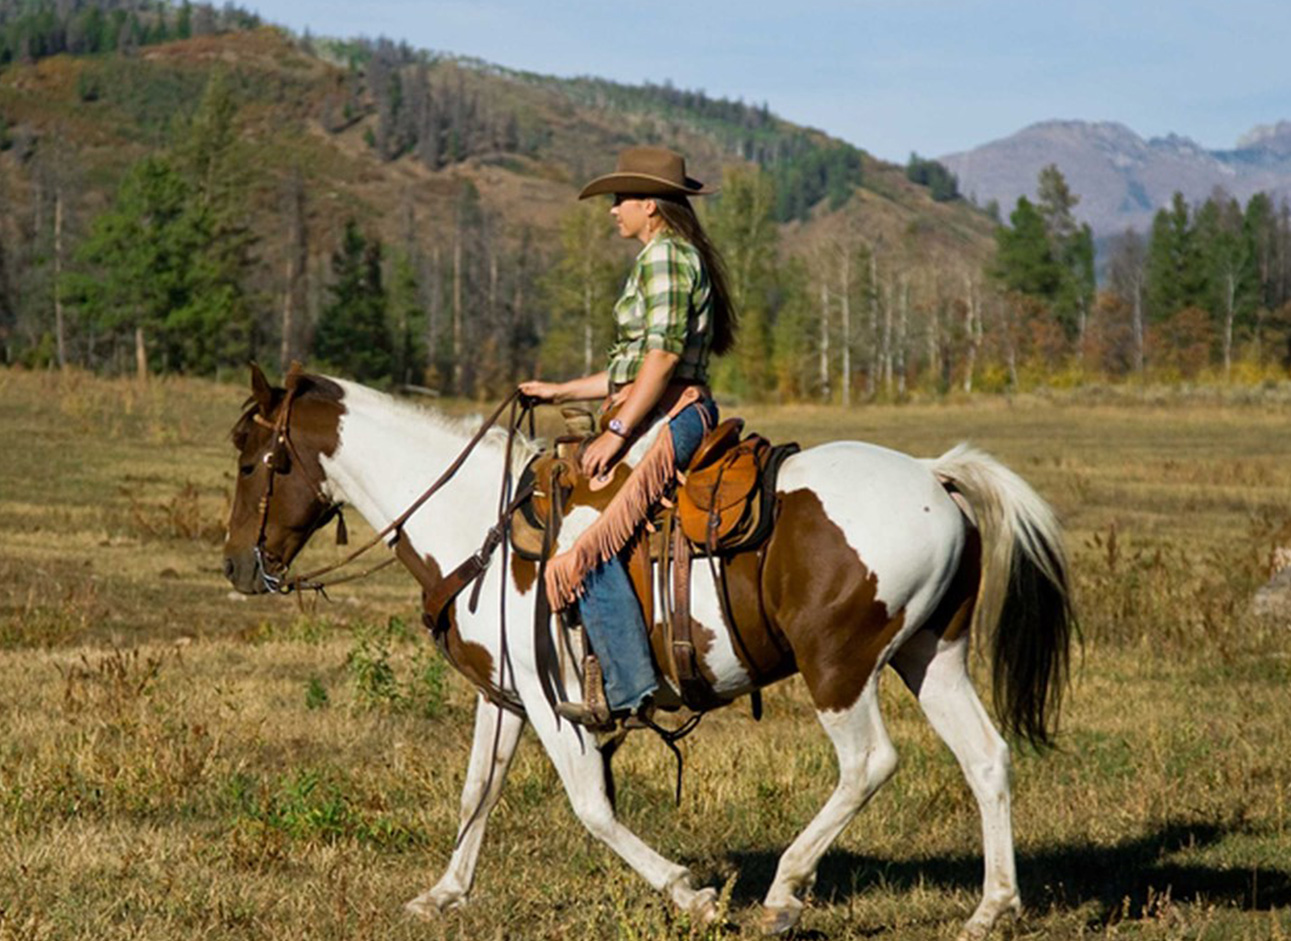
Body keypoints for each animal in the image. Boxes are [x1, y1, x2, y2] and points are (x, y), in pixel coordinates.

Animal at [224, 364, 1079, 939]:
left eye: (250, 456)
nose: (236, 566)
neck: (478, 525)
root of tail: (933, 474)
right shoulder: (503, 693)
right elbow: (477, 792)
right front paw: (441, 893)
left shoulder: (552, 700)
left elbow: (590, 805)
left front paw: (689, 892)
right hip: (931, 654)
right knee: (985, 756)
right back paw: (991, 906)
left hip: (837, 665)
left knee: (868, 762)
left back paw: (783, 892)